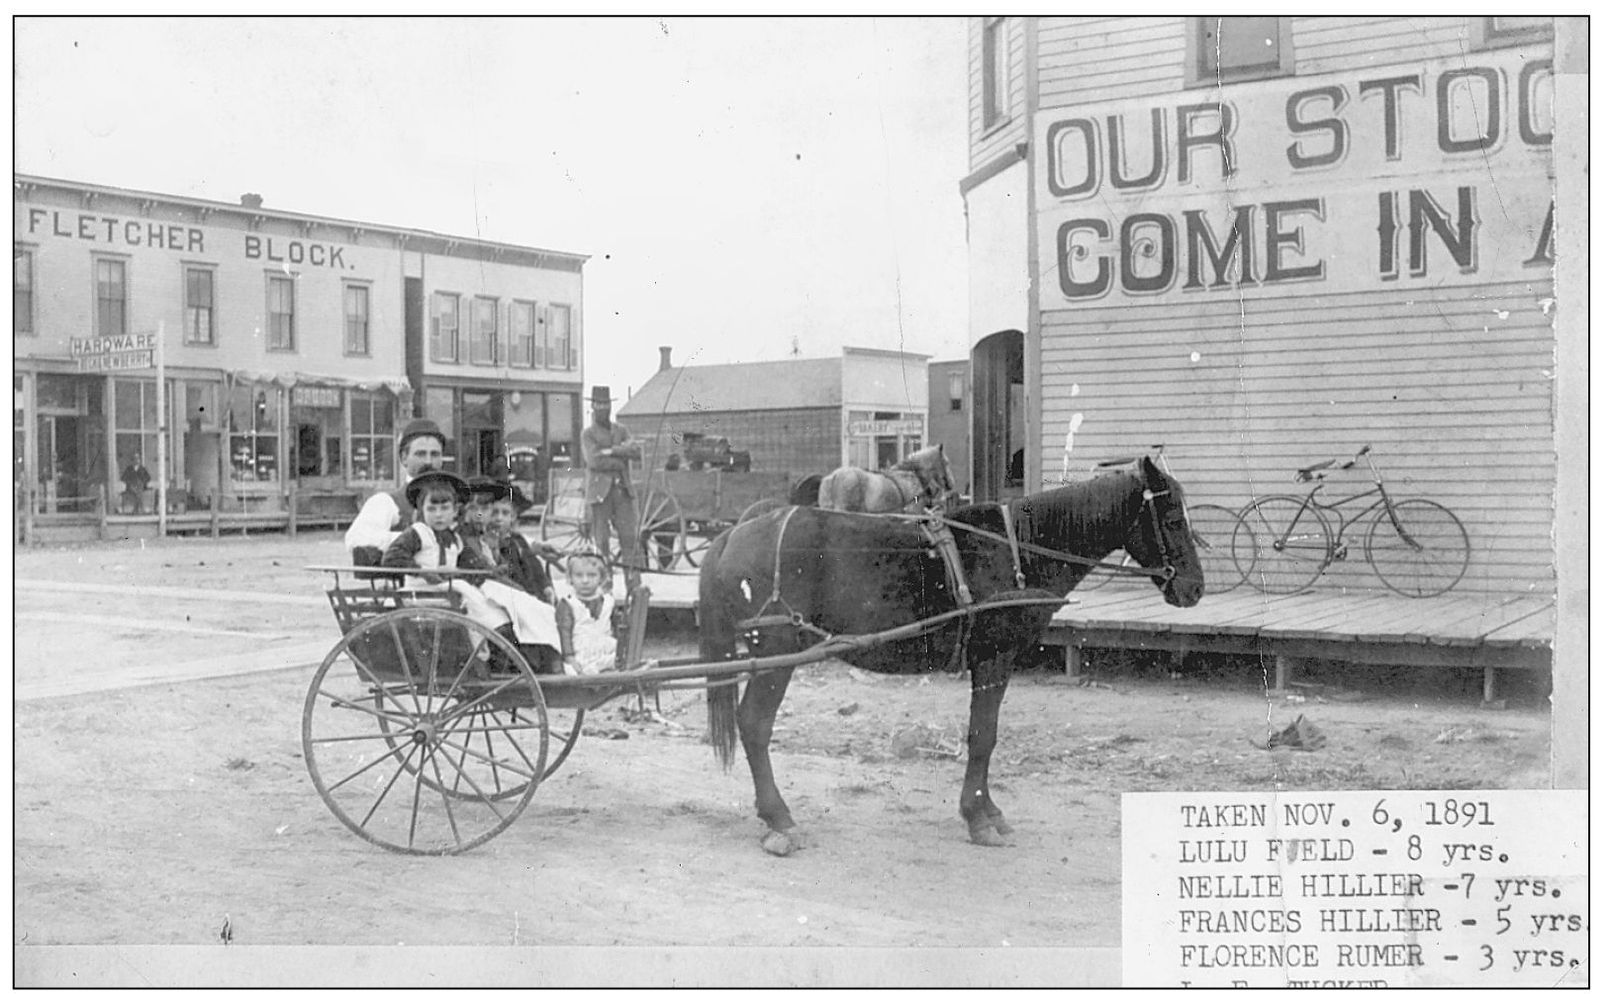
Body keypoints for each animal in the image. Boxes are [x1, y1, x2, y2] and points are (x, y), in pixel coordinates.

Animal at [699, 454, 1205, 850]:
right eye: (1172, 519)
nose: (1194, 588)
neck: (1017, 549)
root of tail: (734, 534)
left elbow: (983, 735)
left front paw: (986, 811)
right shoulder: (994, 656)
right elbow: (983, 735)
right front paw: (979, 816)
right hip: (776, 653)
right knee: (755, 725)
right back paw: (778, 817)